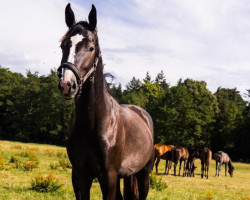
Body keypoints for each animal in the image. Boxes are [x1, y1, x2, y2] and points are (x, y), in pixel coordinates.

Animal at [57, 3, 154, 200]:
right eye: (63, 45)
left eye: (91, 48)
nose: (66, 85)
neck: (92, 124)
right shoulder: (79, 176)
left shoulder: (108, 176)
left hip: (143, 175)